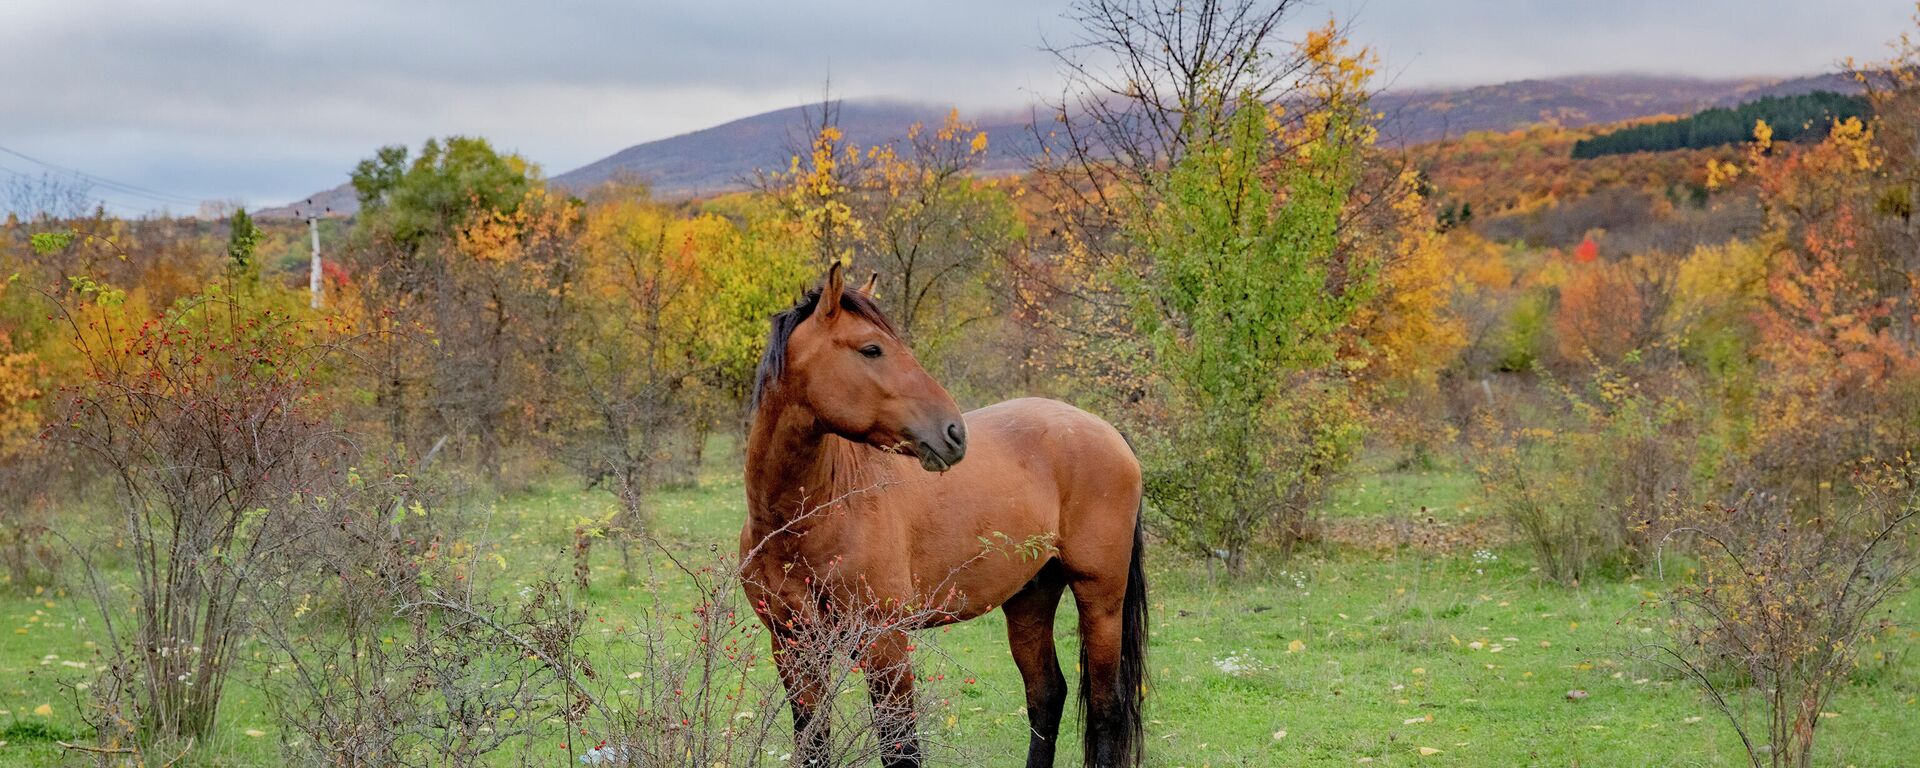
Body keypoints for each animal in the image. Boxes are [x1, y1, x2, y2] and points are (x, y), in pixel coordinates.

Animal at [741, 261, 1144, 764]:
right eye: (871, 349)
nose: (954, 432)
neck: (802, 521)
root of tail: (1107, 431)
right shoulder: (792, 645)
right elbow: (814, 745)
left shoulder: (886, 642)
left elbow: (901, 746)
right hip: (1030, 598)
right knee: (1046, 695)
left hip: (1101, 599)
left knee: (1106, 709)